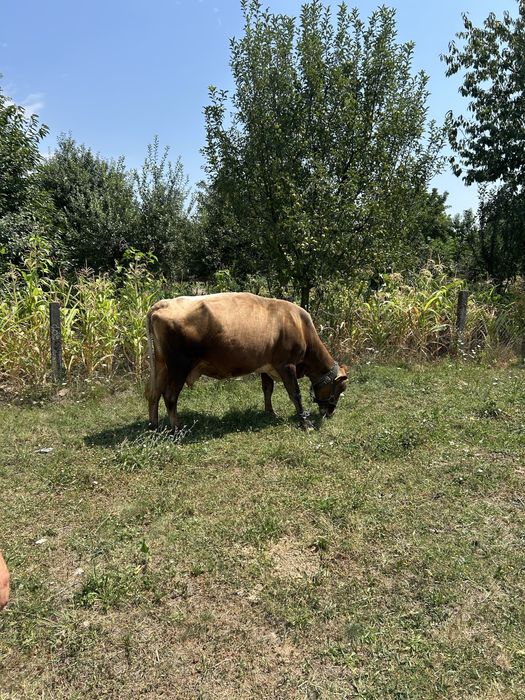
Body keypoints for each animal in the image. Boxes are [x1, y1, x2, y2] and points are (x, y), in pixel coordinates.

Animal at [145, 292, 347, 431]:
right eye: (340, 388)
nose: (330, 412)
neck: (300, 325)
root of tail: (162, 303)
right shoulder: (286, 364)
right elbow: (295, 394)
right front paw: (305, 422)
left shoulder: (266, 365)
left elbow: (267, 388)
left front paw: (269, 412)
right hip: (179, 365)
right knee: (170, 395)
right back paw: (176, 428)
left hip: (161, 364)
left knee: (153, 393)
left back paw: (154, 425)